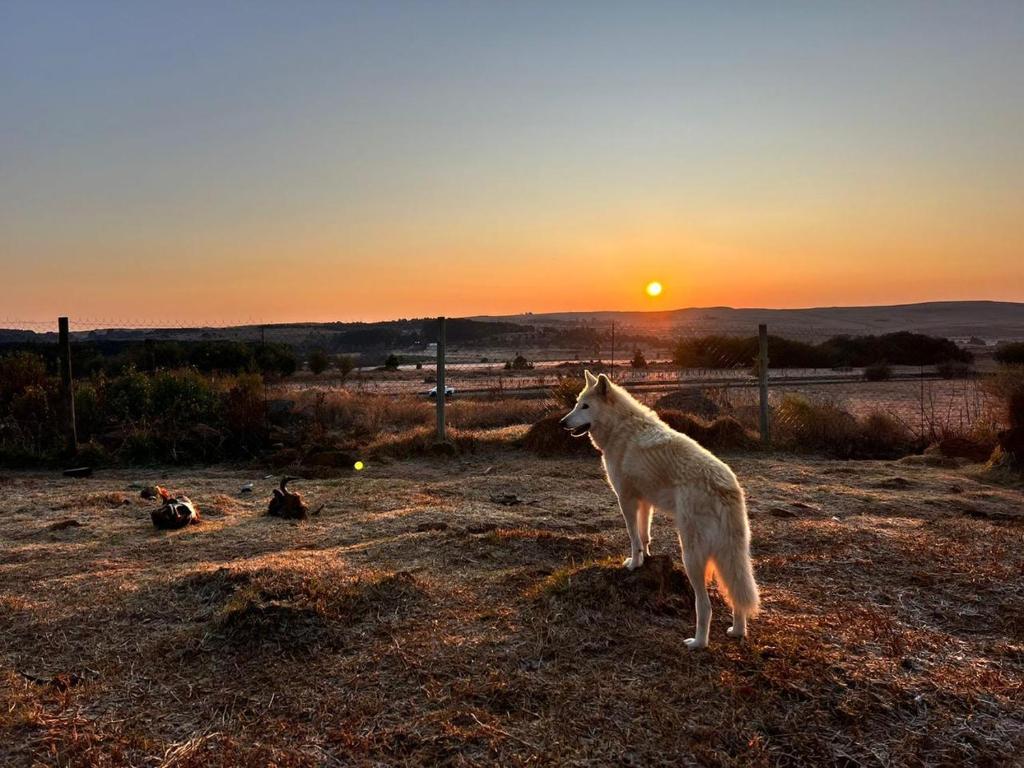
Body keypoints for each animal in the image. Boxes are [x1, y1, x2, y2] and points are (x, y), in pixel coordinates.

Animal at [561, 372, 761, 651]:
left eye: (585, 407)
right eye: (576, 404)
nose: (562, 423)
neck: (621, 427)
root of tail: (726, 487)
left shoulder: (627, 500)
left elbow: (633, 538)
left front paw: (634, 564)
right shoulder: (645, 503)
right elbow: (645, 536)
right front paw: (647, 558)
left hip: (692, 557)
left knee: (705, 606)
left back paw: (697, 643)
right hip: (730, 557)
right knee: (736, 594)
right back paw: (737, 631)